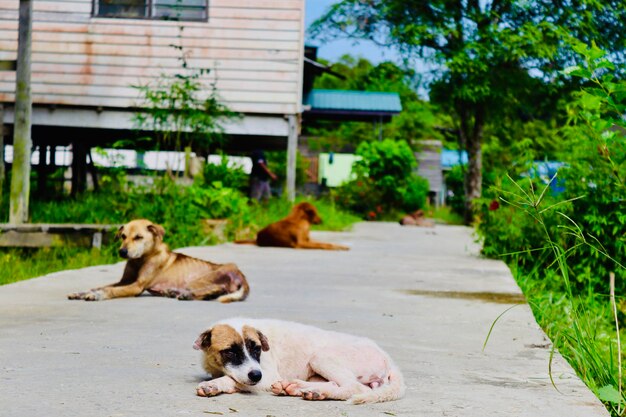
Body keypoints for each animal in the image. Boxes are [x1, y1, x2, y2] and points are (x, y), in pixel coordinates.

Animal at [68, 218, 249, 302]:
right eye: (123, 236)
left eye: (138, 237)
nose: (122, 252)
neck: (140, 259)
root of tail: (241, 274)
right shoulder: (124, 281)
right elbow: (100, 286)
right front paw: (83, 292)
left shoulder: (137, 286)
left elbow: (110, 290)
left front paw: (98, 295)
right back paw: (174, 292)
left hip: (202, 279)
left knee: (219, 289)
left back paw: (186, 295)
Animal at [191, 316, 404, 402]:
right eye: (230, 352)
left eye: (257, 349)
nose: (256, 375)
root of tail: (388, 358)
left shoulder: (267, 376)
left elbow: (233, 379)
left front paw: (214, 385)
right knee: (337, 384)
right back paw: (298, 388)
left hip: (321, 357)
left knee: (354, 388)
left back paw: (316, 392)